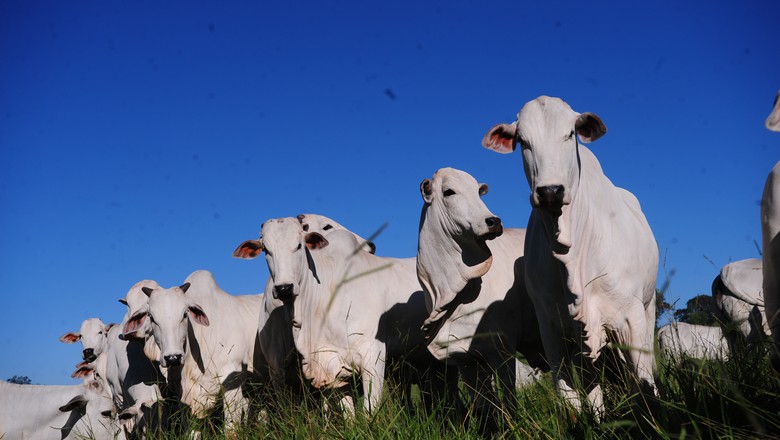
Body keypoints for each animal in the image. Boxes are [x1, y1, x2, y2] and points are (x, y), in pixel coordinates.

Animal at [418, 166, 544, 416]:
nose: (493, 221)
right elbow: (485, 408)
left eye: (478, 192)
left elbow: (509, 399)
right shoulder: (465, 359)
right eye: (448, 192)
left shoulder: (503, 348)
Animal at [482, 95, 660, 412]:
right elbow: (569, 399)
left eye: (570, 134)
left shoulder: (631, 318)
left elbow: (643, 388)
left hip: (648, 309)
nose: (550, 191)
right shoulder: (552, 328)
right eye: (523, 141)